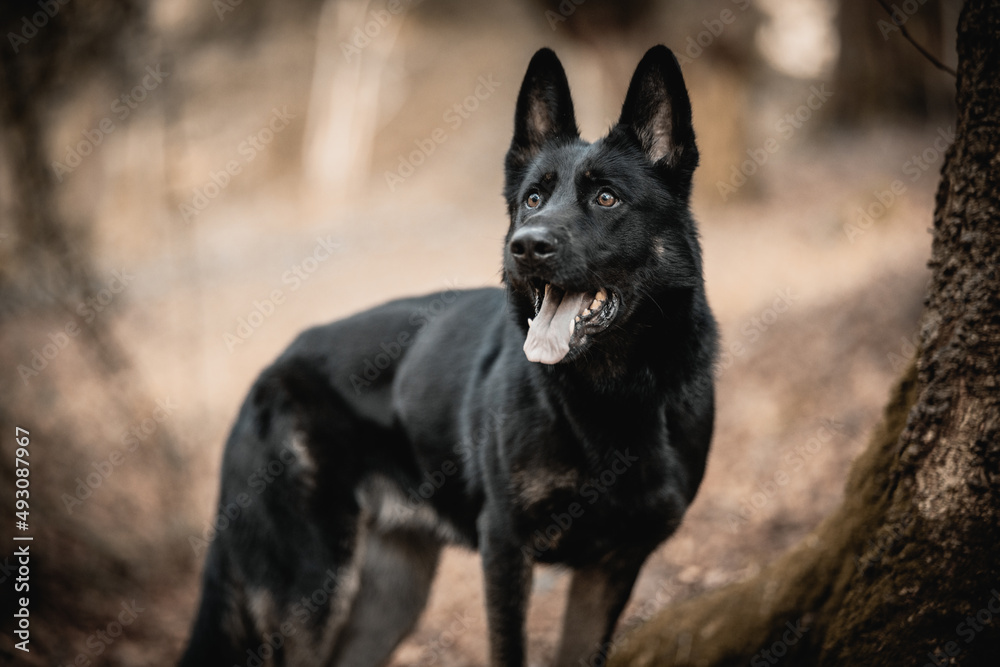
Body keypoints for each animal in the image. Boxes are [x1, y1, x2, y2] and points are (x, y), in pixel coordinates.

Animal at [184, 45, 720, 667]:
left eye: (606, 197)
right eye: (532, 199)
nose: (525, 246)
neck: (613, 393)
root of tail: (268, 373)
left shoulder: (611, 568)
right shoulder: (506, 549)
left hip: (393, 595)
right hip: (310, 591)